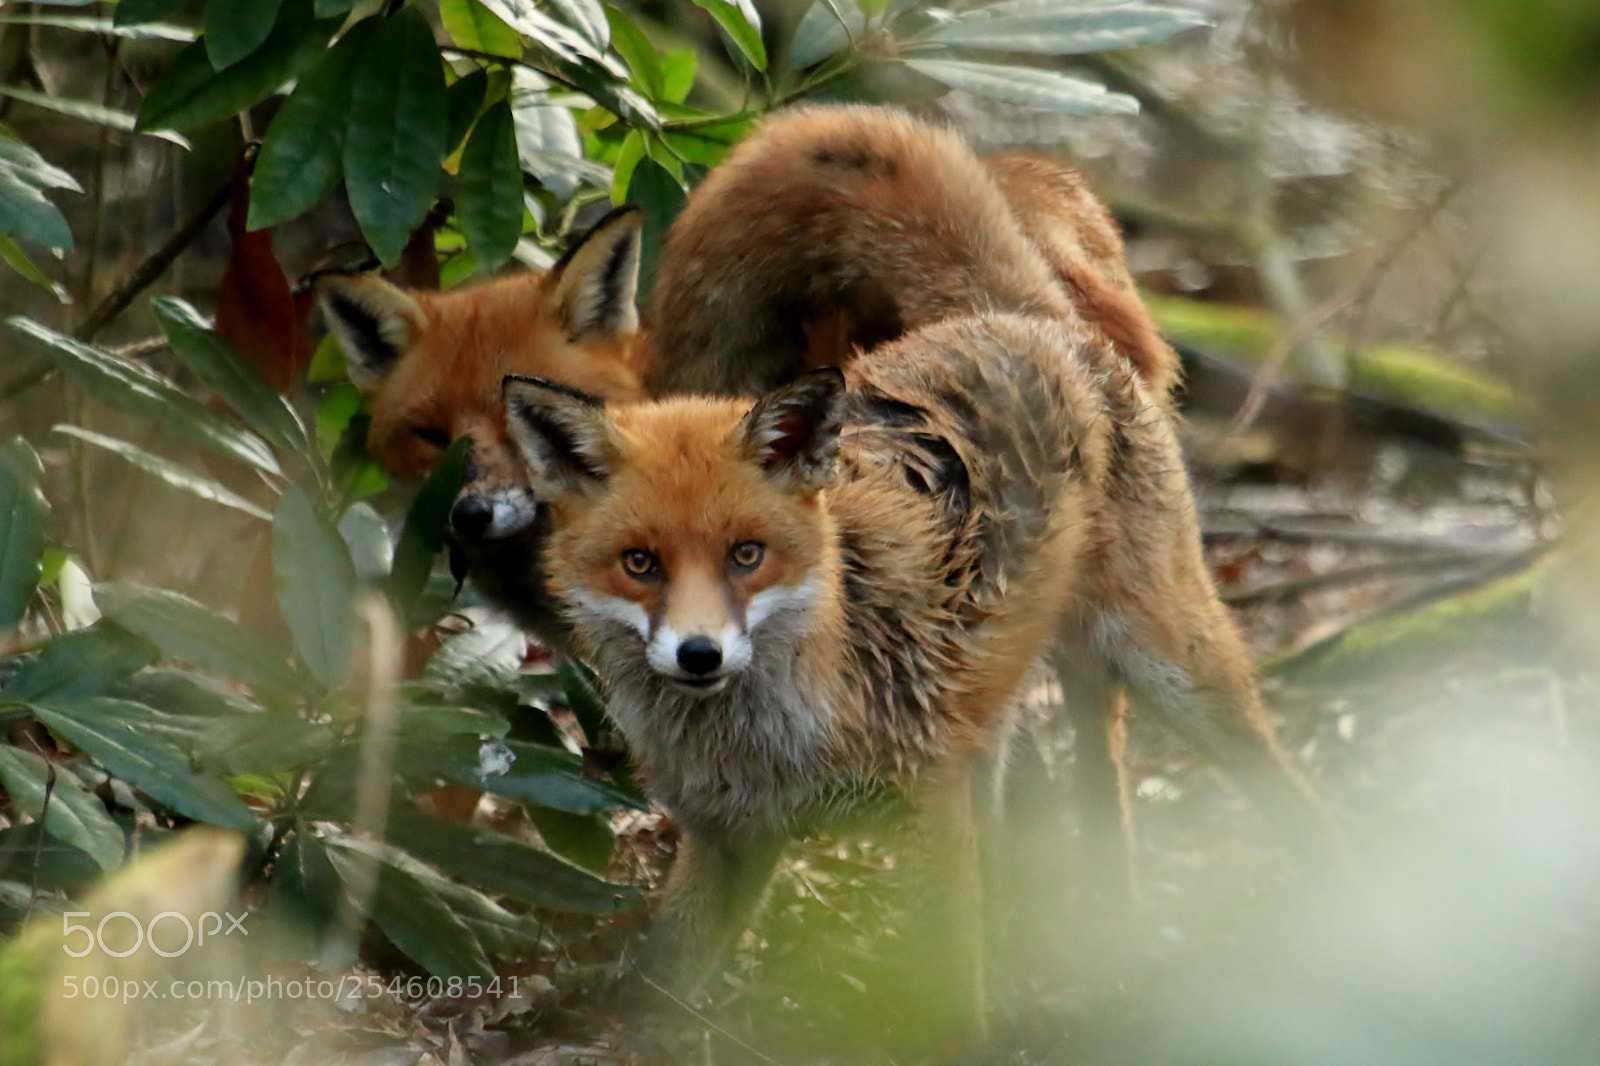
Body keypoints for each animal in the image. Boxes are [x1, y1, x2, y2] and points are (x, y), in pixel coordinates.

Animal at [503, 107, 1339, 1040]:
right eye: (639, 563)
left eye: (747, 555)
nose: (699, 656)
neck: (773, 737)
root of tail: (1005, 314)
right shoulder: (728, 840)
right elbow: (660, 998)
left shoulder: (929, 817)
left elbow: (951, 1013)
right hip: (1000, 718)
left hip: (1172, 665)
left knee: (1292, 800)